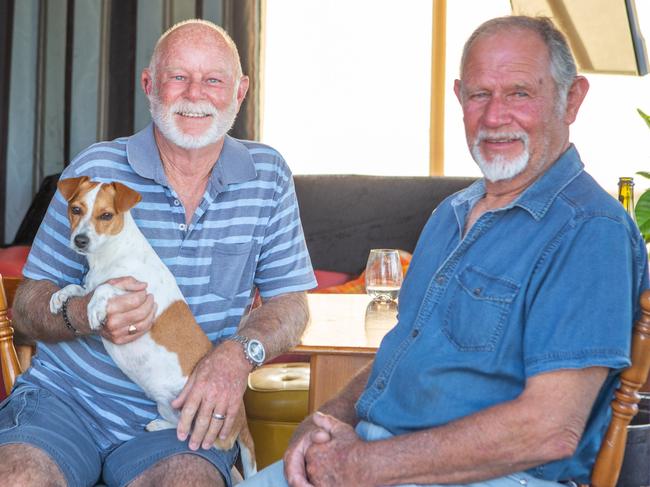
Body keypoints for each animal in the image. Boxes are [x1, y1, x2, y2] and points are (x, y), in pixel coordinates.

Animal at [49, 176, 256, 480]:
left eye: (106, 215)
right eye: (76, 209)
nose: (80, 240)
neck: (110, 256)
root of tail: (241, 419)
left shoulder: (139, 291)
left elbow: (106, 288)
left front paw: (95, 306)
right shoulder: (90, 285)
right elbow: (78, 288)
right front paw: (60, 297)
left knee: (205, 438)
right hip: (166, 403)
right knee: (180, 426)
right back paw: (158, 425)